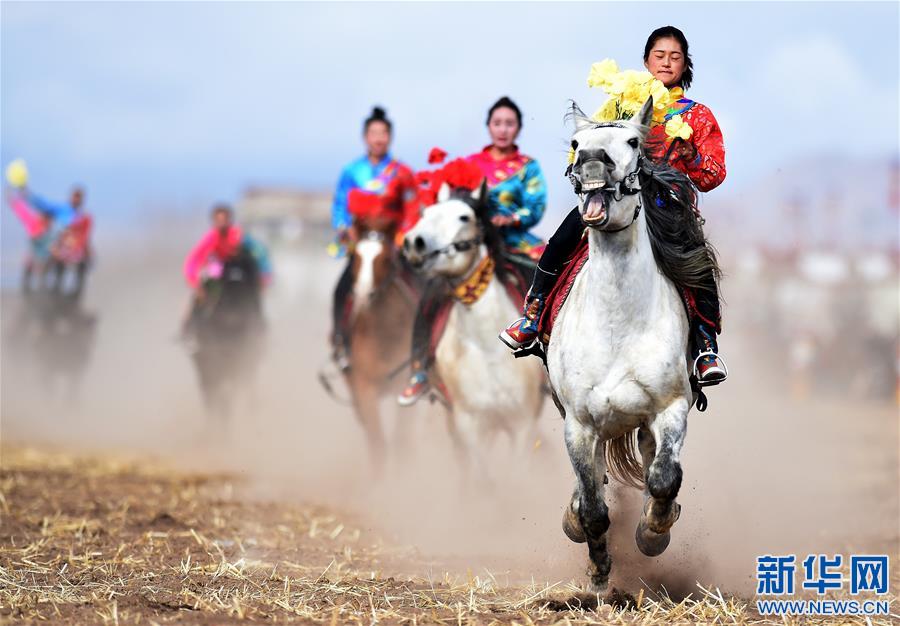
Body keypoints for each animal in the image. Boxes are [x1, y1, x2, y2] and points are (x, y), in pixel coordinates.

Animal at [342, 213, 418, 468]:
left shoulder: (405, 387)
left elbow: (401, 441)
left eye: (385, 258)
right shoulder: (364, 387)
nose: (364, 294)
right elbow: (377, 443)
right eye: (355, 256)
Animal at [548, 97, 716, 588]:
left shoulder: (670, 409)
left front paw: (653, 532)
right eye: (576, 143)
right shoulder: (579, 424)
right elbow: (593, 507)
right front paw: (599, 569)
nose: (591, 162)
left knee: (651, 463)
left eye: (633, 142)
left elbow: (663, 477)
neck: (617, 324)